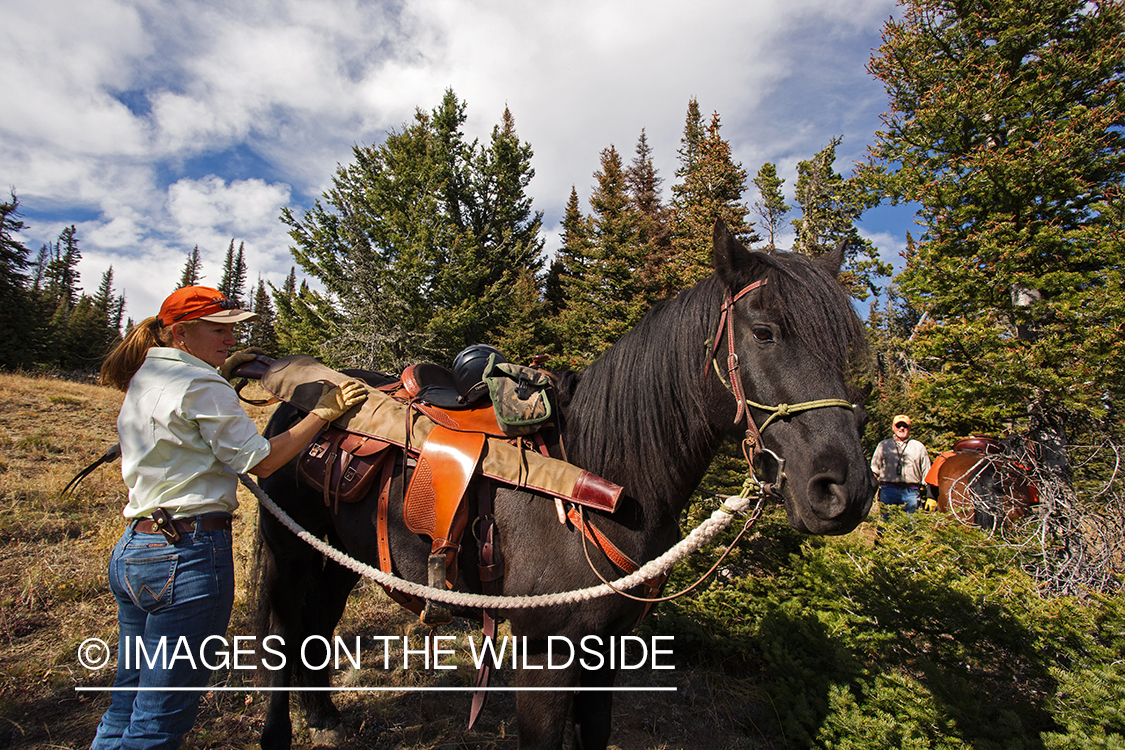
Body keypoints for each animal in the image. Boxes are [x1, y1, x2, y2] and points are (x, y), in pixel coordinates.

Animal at [255, 220, 877, 746]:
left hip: (339, 555)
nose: (843, 491)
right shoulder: (544, 657)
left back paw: (323, 715)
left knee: (317, 625)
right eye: (765, 332)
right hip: (290, 551)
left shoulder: (608, 652)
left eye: (845, 348)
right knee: (284, 637)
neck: (605, 480)